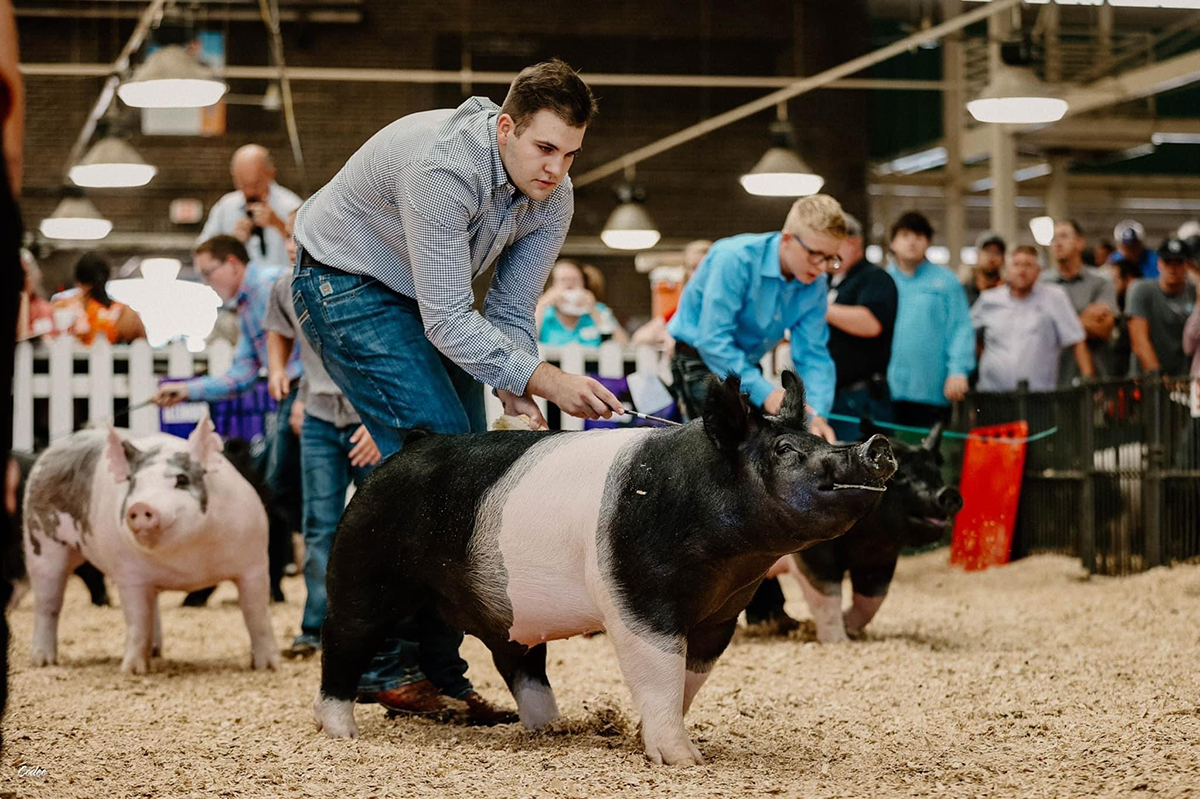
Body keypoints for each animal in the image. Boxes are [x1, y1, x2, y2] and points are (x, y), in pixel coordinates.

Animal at [22, 414, 280, 674]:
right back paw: (43, 661)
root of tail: (57, 446)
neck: (187, 560)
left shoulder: (255, 563)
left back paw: (156, 652)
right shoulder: (129, 575)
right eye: (134, 483)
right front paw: (131, 671)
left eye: (181, 480)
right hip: (40, 542)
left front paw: (269, 666)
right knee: (48, 602)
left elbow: (257, 614)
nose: (140, 506)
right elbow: (137, 621)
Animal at [313, 372, 896, 765]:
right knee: (343, 644)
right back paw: (341, 734)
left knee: (518, 662)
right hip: (362, 573)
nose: (876, 445)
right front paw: (685, 761)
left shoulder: (721, 614)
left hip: (506, 610)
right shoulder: (639, 598)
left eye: (819, 441)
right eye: (785, 449)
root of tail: (408, 447)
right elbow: (658, 673)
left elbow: (688, 678)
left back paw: (549, 729)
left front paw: (651, 740)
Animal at [767, 421, 963, 643]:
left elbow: (873, 599)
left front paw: (849, 626)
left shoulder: (880, 559)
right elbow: (827, 597)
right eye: (901, 475)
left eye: (936, 473)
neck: (865, 539)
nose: (948, 492)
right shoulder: (814, 557)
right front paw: (839, 641)